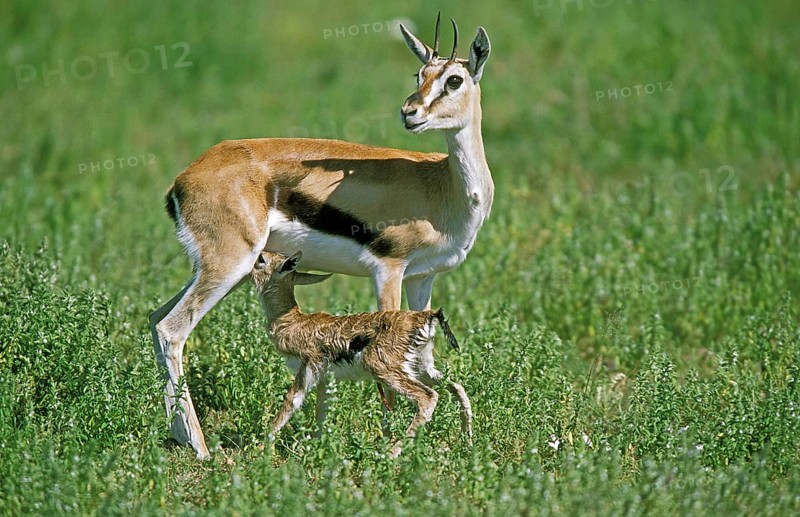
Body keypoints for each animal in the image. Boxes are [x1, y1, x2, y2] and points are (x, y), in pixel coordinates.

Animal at [251, 251, 473, 458]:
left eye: (261, 259)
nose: (253, 259)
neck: (292, 322)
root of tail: (424, 317)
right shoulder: (324, 379)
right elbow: (321, 412)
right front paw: (317, 449)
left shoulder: (306, 371)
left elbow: (289, 404)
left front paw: (258, 452)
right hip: (422, 369)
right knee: (457, 387)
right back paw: (467, 444)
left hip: (384, 369)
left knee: (428, 397)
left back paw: (389, 455)